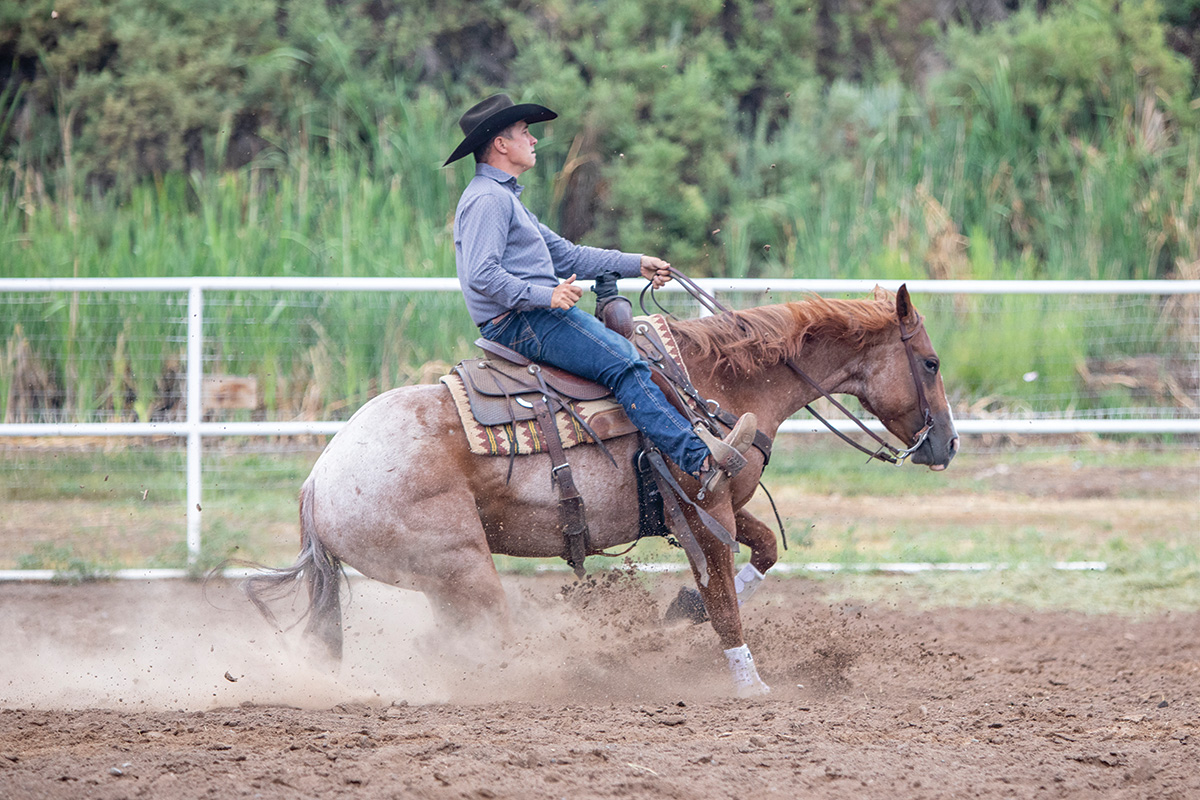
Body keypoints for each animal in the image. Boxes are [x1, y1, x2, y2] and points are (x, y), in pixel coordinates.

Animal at [243, 286, 955, 695]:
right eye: (931, 362)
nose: (947, 444)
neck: (710, 385)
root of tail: (318, 479)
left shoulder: (727, 507)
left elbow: (765, 552)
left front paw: (680, 611)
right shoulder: (704, 509)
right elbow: (725, 598)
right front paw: (749, 684)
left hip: (446, 581)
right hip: (462, 568)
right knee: (473, 644)